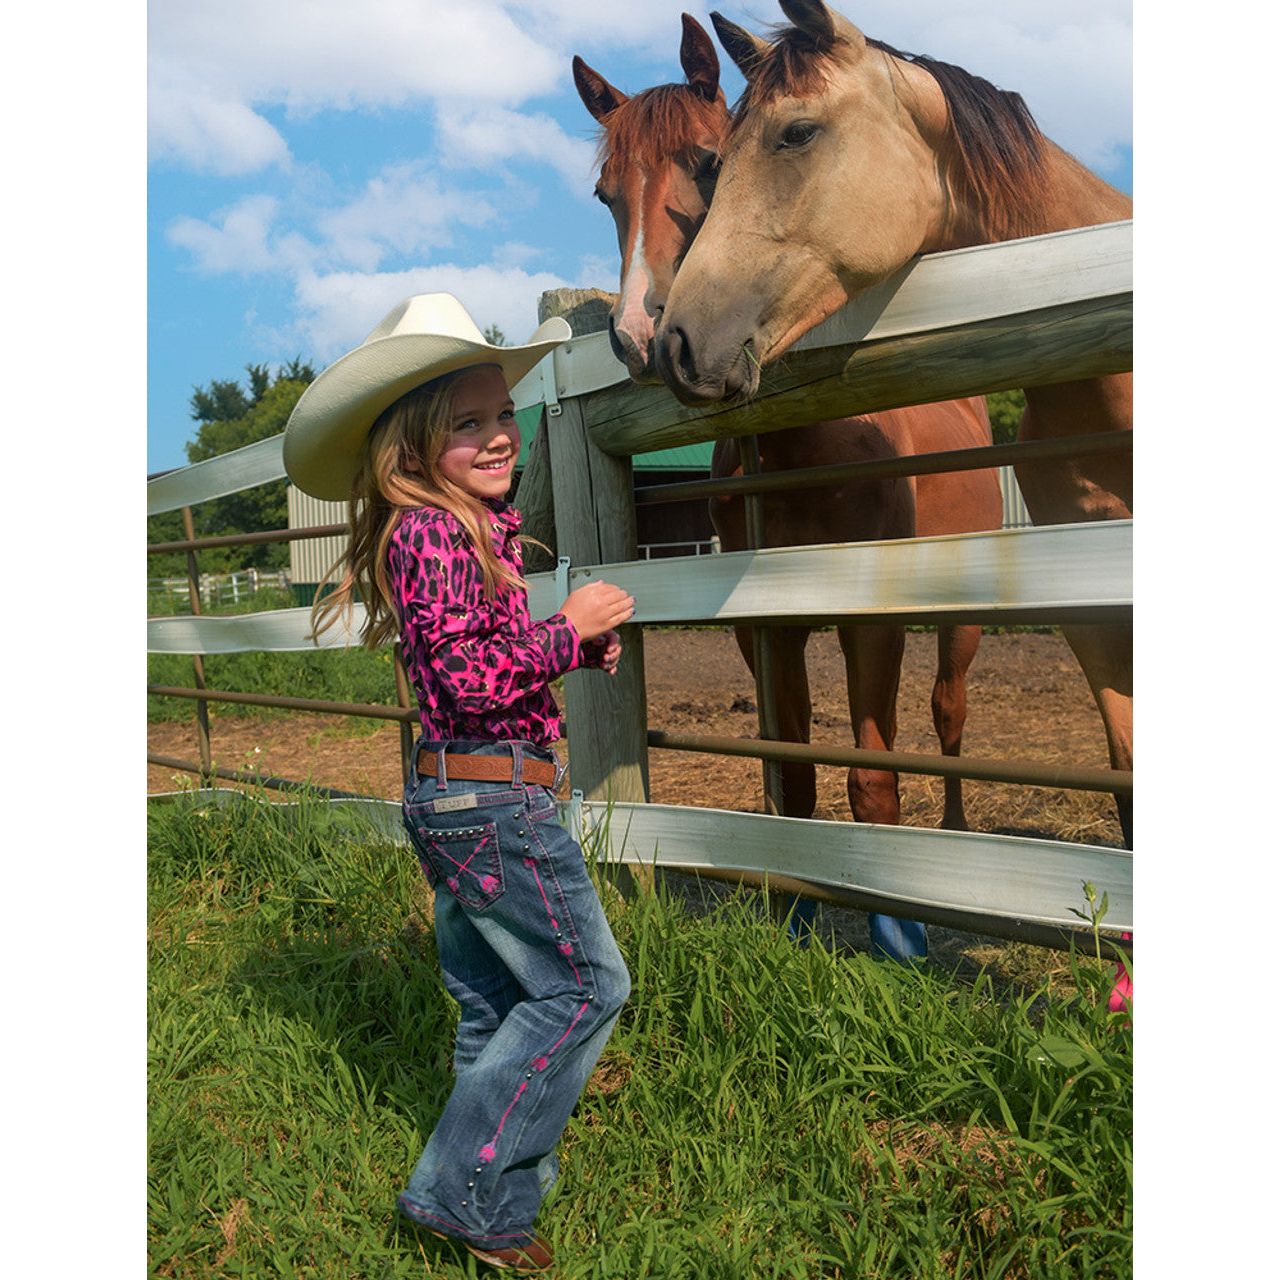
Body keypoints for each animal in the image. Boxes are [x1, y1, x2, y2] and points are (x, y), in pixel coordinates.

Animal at [576, 7, 1003, 952]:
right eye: (605, 194)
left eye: (708, 162)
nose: (642, 336)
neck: (807, 454)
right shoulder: (764, 629)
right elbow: (794, 773)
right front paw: (799, 911)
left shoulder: (868, 619)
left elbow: (871, 777)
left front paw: (897, 931)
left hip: (961, 613)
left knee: (950, 714)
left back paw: (957, 841)